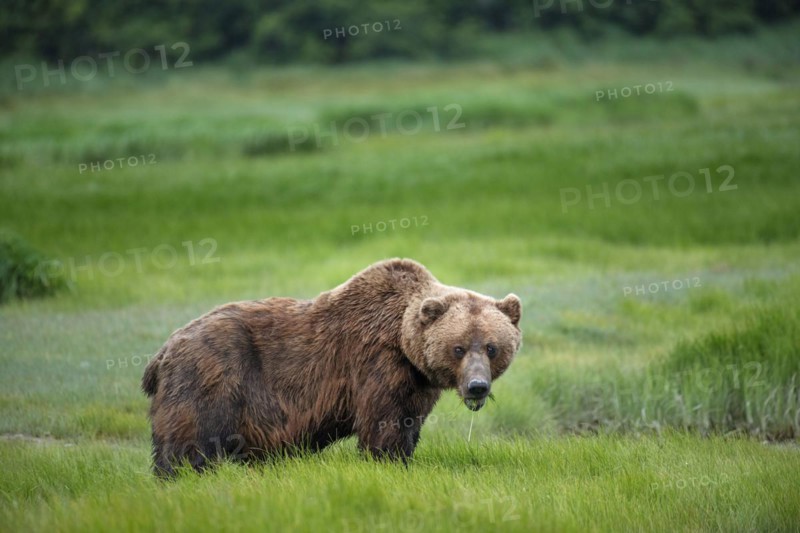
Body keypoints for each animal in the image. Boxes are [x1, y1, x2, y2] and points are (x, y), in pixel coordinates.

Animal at [142, 258, 522, 476]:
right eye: (458, 348)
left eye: (492, 347)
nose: (476, 386)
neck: (404, 343)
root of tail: (161, 352)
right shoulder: (376, 362)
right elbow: (383, 424)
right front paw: (388, 463)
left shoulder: (417, 382)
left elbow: (409, 422)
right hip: (211, 375)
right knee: (190, 441)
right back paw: (179, 475)